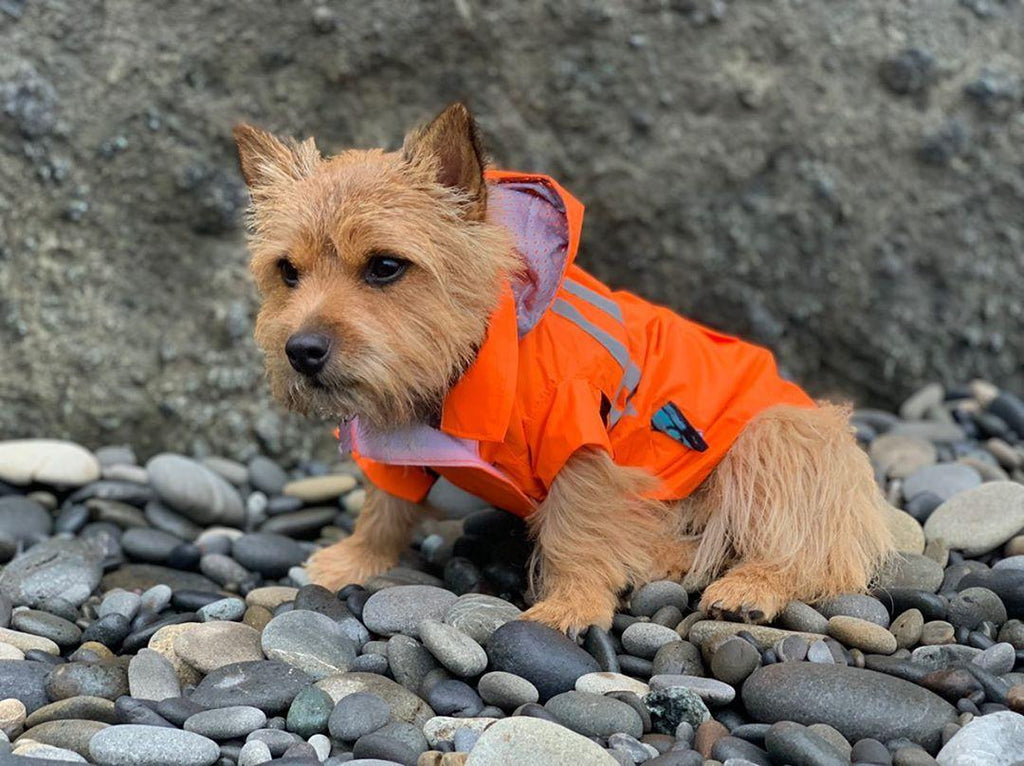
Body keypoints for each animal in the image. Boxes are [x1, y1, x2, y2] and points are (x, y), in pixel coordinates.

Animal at [235, 101, 892, 630]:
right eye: (287, 271)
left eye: (385, 266)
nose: (302, 350)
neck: (472, 362)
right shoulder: (395, 440)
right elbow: (384, 503)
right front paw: (356, 557)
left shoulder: (581, 438)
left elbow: (577, 526)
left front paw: (571, 603)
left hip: (778, 435)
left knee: (811, 551)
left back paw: (744, 583)